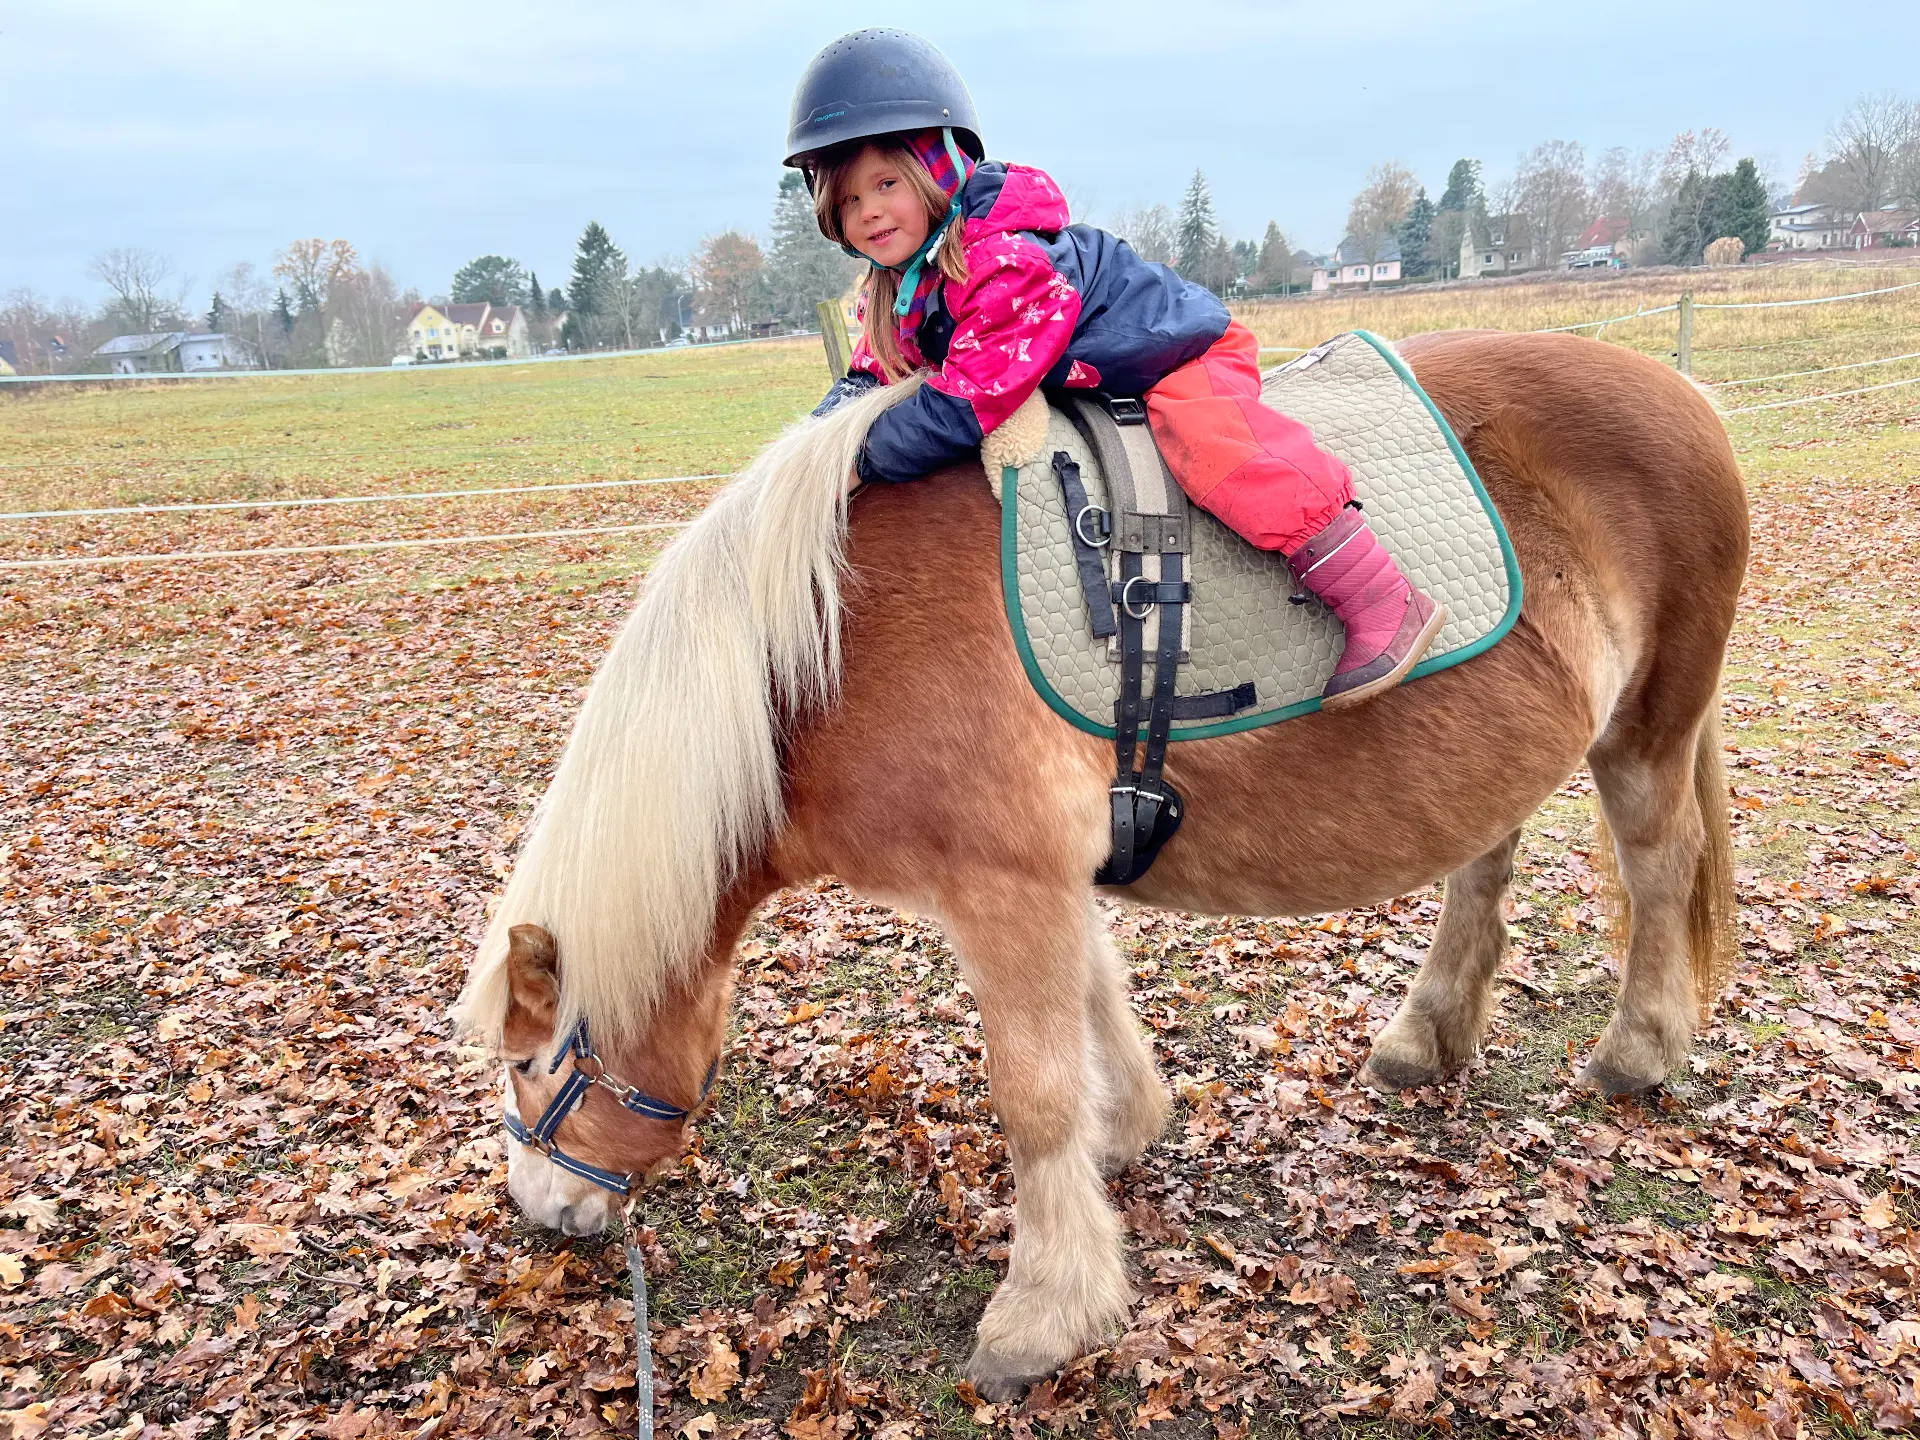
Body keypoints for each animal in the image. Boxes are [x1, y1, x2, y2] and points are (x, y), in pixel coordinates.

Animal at [457, 330, 1749, 1400]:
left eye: (530, 1065)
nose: (541, 1215)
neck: (819, 656)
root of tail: (1683, 390)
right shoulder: (1042, 881)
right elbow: (1093, 1007)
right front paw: (1127, 1129)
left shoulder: (1004, 886)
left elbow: (1031, 1095)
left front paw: (1042, 1315)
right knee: (1486, 865)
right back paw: (1427, 1036)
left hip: (1646, 733)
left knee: (1656, 867)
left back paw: (1639, 1051)